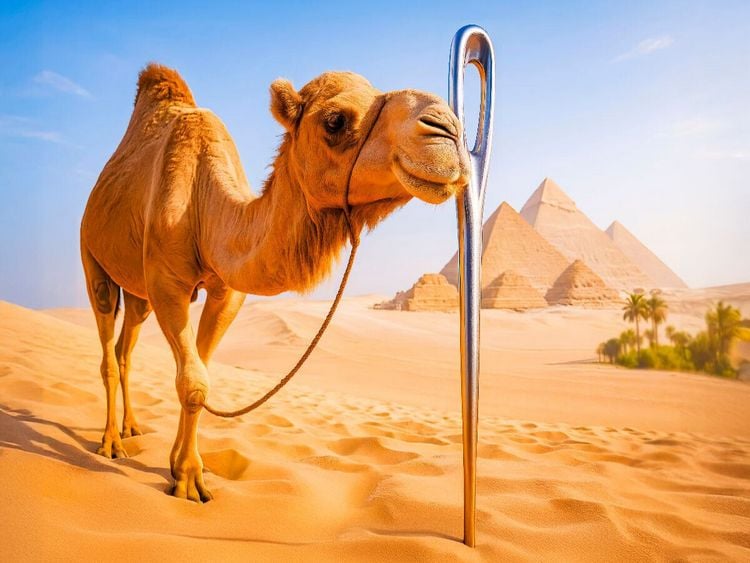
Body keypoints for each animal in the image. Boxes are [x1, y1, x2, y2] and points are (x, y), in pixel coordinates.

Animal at [80, 63, 469, 502]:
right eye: (335, 121)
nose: (447, 130)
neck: (203, 205)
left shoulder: (226, 292)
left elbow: (202, 372)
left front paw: (182, 464)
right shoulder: (167, 283)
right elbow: (193, 383)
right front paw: (189, 481)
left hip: (137, 292)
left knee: (125, 350)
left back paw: (131, 427)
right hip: (93, 259)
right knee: (107, 350)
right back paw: (111, 443)